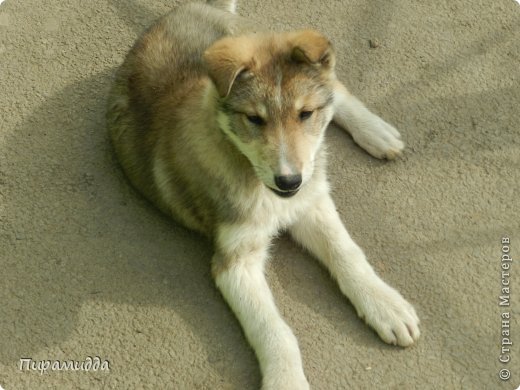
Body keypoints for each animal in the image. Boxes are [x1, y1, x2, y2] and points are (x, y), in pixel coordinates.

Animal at [105, 0, 418, 386]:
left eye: (305, 114)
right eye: (254, 119)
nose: (289, 182)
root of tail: (192, 8)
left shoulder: (312, 201)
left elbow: (346, 252)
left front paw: (385, 304)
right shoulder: (235, 260)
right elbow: (275, 332)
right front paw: (287, 382)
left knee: (335, 87)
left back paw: (376, 132)